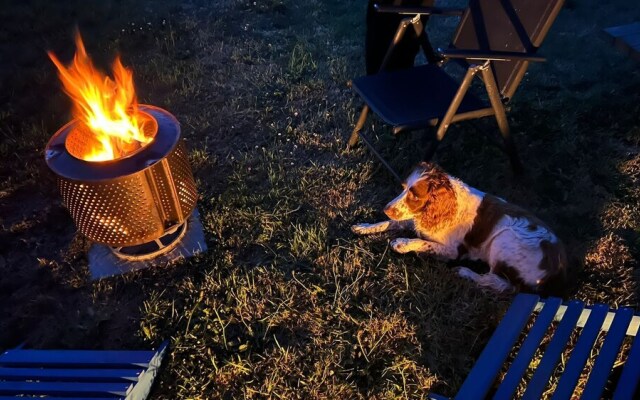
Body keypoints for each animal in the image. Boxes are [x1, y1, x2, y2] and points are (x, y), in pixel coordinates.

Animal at [352, 162, 568, 294]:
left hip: (505, 239)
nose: (386, 208)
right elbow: (390, 222)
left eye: (414, 195)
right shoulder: (415, 219)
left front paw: (402, 243)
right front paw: (364, 226)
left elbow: (422, 242)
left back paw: (465, 273)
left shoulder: (454, 251)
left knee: (501, 284)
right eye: (404, 188)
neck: (447, 204)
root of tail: (558, 264)